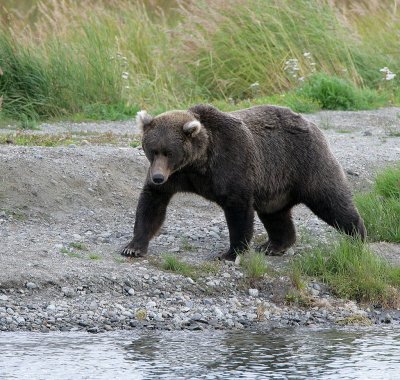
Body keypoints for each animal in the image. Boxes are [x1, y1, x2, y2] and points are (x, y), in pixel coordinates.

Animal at [121, 104, 366, 260]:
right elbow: (152, 204)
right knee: (275, 215)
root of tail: (311, 123)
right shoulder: (178, 177)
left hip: (305, 162)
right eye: (152, 150)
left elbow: (238, 209)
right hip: (275, 188)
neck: (198, 163)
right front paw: (133, 247)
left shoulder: (231, 162)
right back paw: (273, 246)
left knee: (331, 200)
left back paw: (357, 235)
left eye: (169, 152)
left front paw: (230, 253)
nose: (157, 177)